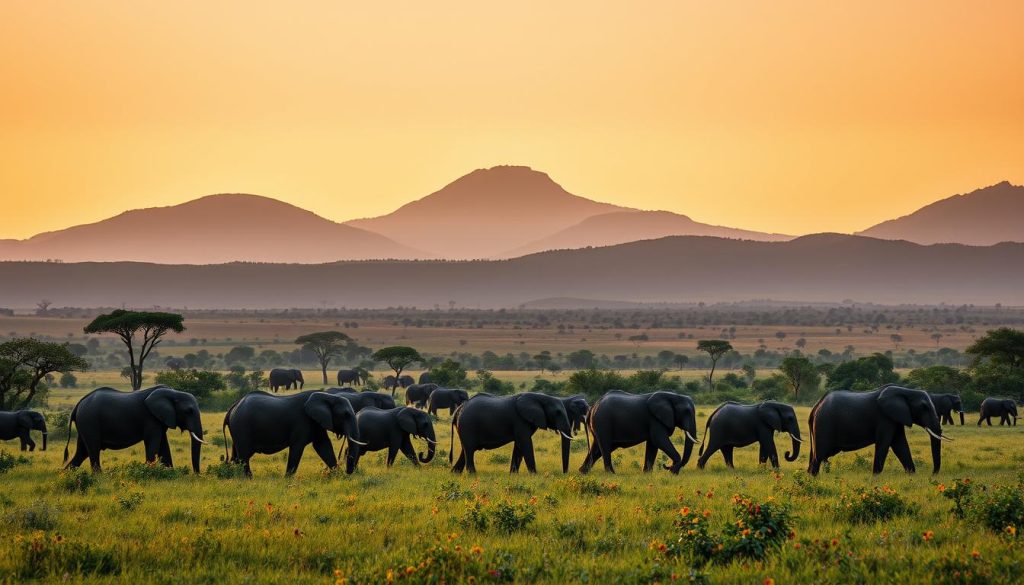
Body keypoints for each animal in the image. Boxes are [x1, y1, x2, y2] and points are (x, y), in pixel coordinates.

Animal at [64, 385, 206, 473]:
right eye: (188, 411)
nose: (196, 474)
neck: (173, 392)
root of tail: (77, 405)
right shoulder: (150, 418)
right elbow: (153, 443)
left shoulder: (160, 419)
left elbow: (164, 446)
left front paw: (171, 473)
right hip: (89, 421)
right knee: (93, 449)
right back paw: (99, 477)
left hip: (85, 423)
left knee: (81, 452)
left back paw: (64, 475)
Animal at [223, 390, 363, 477]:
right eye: (345, 415)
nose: (348, 472)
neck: (328, 396)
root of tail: (233, 406)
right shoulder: (302, 422)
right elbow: (297, 447)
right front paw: (287, 479)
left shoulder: (316, 422)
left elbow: (323, 446)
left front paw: (338, 476)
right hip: (241, 426)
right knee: (244, 455)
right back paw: (249, 478)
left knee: (236, 455)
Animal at [807, 385, 949, 476]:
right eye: (924, 407)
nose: (933, 474)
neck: (906, 391)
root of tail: (816, 406)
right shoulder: (885, 418)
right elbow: (885, 443)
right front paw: (875, 477)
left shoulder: (896, 418)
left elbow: (900, 445)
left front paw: (912, 475)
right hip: (823, 424)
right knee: (819, 455)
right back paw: (814, 477)